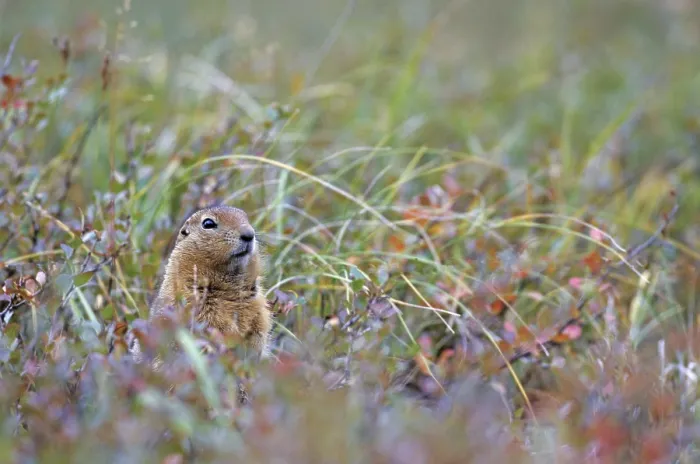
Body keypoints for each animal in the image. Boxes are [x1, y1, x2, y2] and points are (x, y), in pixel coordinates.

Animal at [131, 205, 272, 364]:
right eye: (208, 223)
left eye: (245, 217)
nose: (249, 234)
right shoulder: (194, 302)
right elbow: (213, 325)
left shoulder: (258, 305)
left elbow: (260, 326)